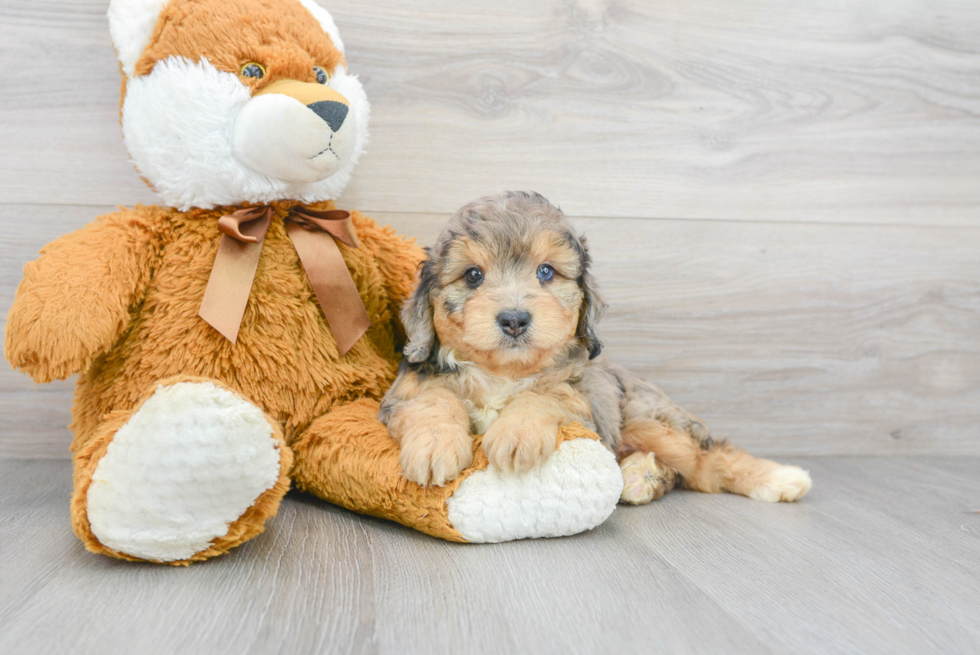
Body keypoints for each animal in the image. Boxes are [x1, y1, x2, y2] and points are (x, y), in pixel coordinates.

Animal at [378, 192, 812, 504]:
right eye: (472, 275)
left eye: (546, 272)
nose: (515, 319)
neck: (503, 373)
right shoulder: (404, 394)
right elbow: (432, 399)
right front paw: (434, 445)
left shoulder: (581, 406)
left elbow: (545, 395)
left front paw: (516, 434)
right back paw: (642, 477)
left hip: (647, 418)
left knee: (708, 460)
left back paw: (780, 478)